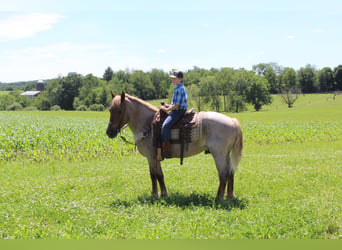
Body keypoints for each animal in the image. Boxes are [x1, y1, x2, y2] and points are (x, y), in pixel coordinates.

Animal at [105, 93, 242, 200]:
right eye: (110, 110)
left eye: (119, 111)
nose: (109, 132)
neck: (147, 124)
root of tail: (232, 120)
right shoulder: (156, 157)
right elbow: (159, 175)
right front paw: (163, 194)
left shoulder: (151, 157)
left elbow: (153, 175)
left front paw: (155, 195)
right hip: (226, 155)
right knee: (230, 172)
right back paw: (230, 195)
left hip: (219, 155)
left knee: (223, 174)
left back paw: (219, 197)